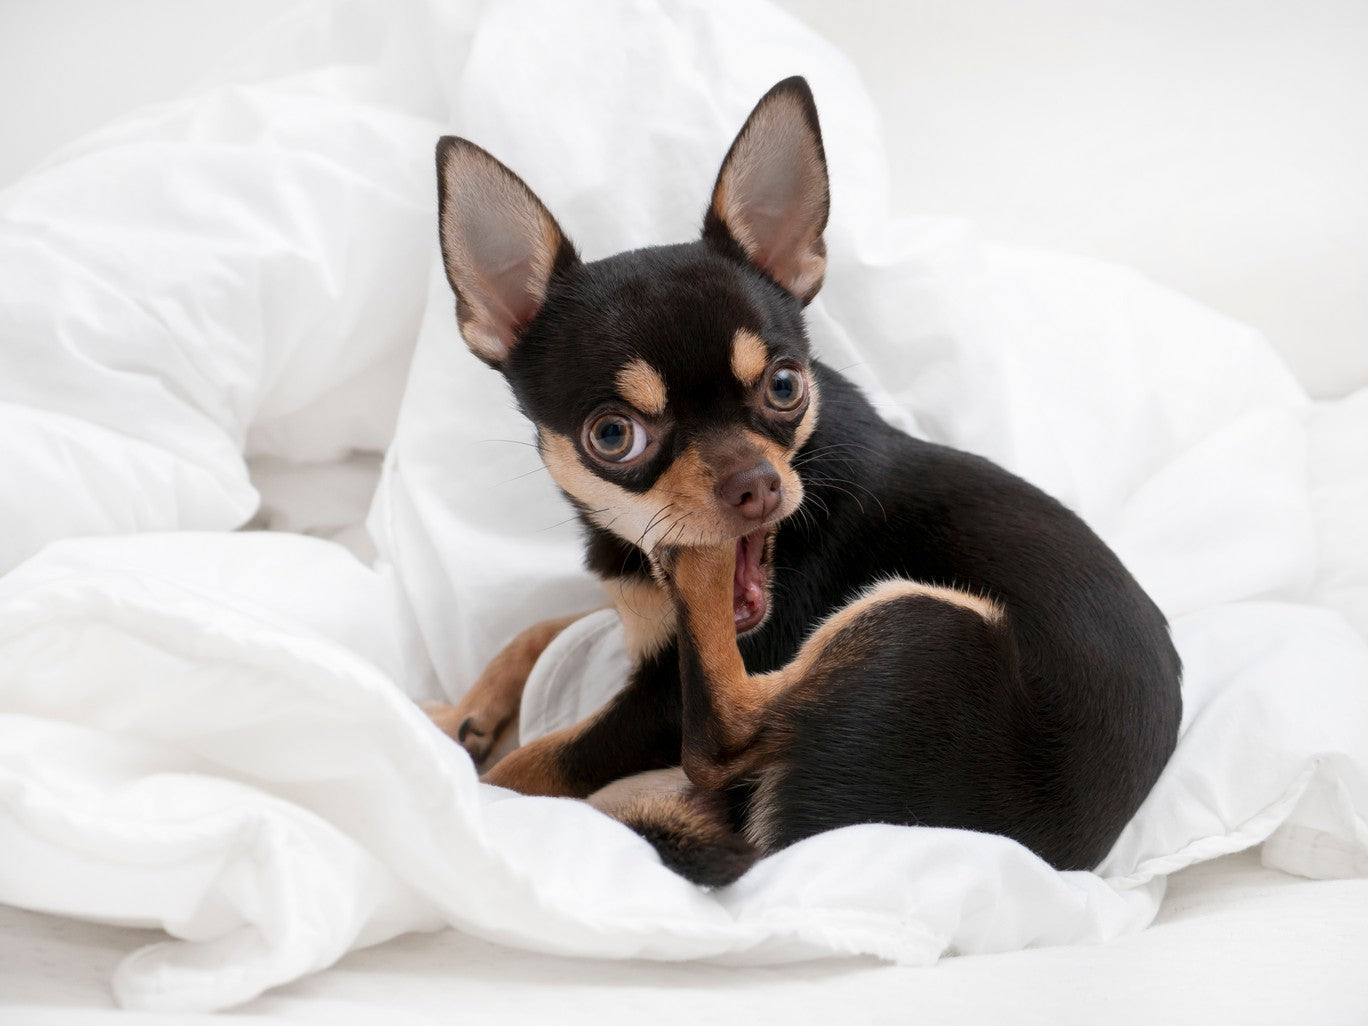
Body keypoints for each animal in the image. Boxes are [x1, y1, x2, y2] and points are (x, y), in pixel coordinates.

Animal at [421, 76, 1181, 886]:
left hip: (921, 620)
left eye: (785, 386)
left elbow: (537, 763)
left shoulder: (659, 700)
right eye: (612, 435)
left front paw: (478, 776)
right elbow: (538, 627)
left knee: (719, 735)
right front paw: (457, 714)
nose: (755, 485)